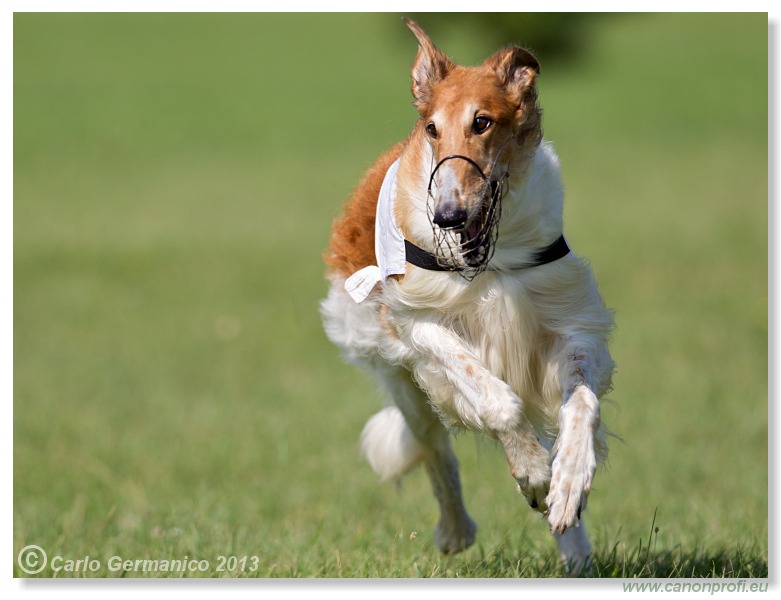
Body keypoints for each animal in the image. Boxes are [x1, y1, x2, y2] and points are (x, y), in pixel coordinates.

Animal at [320, 18, 612, 572]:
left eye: (483, 122)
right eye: (433, 129)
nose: (448, 215)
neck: (485, 262)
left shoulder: (558, 322)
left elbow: (580, 405)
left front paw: (566, 487)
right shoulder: (421, 322)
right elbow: (497, 402)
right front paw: (533, 476)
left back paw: (574, 549)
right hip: (400, 376)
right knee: (436, 452)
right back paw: (456, 531)